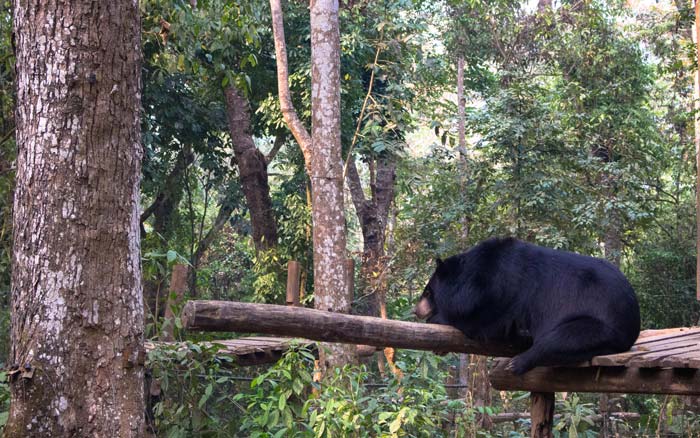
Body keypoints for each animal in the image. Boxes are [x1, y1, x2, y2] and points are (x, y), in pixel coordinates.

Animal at [416, 238, 640, 374]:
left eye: (427, 292)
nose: (416, 310)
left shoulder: (502, 289)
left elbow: (482, 322)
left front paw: (437, 319)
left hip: (599, 324)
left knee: (561, 338)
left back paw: (517, 363)